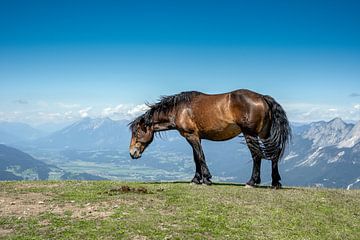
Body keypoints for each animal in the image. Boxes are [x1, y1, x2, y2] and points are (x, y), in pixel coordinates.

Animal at [128, 89, 292, 188]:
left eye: (137, 132)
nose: (132, 153)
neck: (179, 109)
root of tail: (263, 98)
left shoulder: (191, 136)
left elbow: (200, 157)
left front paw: (206, 178)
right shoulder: (196, 137)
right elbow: (196, 158)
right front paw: (196, 179)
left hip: (250, 134)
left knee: (257, 155)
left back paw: (252, 182)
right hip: (264, 134)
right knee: (274, 154)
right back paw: (275, 182)